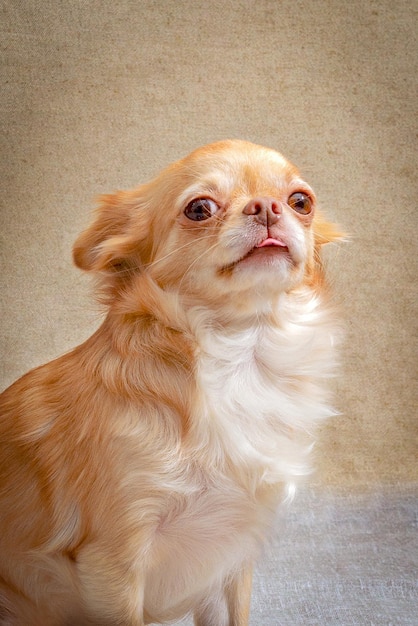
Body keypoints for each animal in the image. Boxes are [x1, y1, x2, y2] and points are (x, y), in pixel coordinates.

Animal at [0, 141, 342, 624]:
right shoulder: (113, 565)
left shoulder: (231, 556)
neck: (240, 353)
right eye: (199, 209)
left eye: (301, 201)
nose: (267, 206)